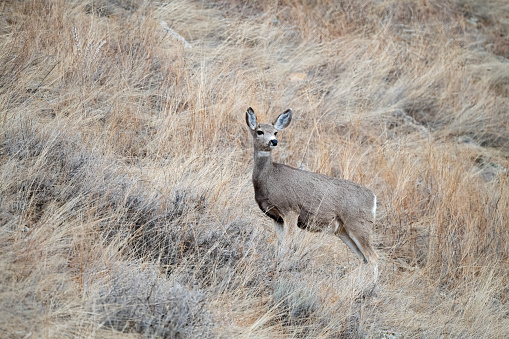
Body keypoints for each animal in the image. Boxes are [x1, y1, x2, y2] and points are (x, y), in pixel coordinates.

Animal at [244, 107, 380, 282]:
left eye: (275, 132)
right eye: (259, 131)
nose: (274, 141)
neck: (270, 178)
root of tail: (373, 198)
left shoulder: (291, 210)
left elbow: (288, 244)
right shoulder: (276, 217)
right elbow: (280, 245)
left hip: (358, 223)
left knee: (373, 257)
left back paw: (373, 286)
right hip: (344, 230)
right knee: (363, 258)